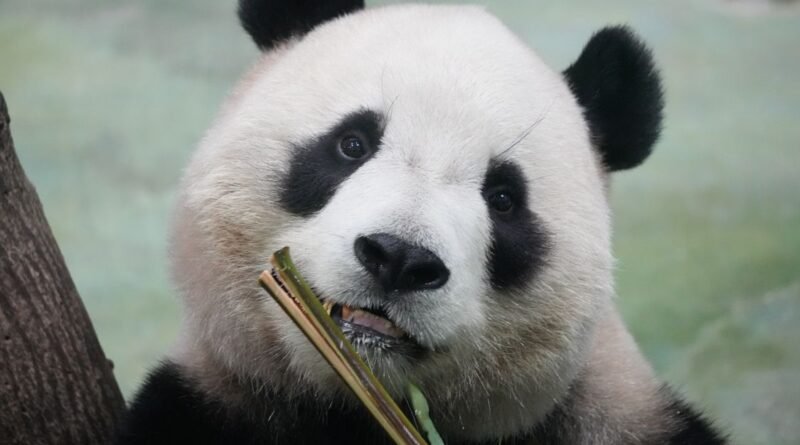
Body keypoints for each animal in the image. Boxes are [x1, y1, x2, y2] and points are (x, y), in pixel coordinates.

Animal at [116, 1, 727, 444]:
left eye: (503, 198)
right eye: (352, 143)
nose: (400, 258)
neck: (358, 399)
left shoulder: (609, 415)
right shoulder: (214, 403)